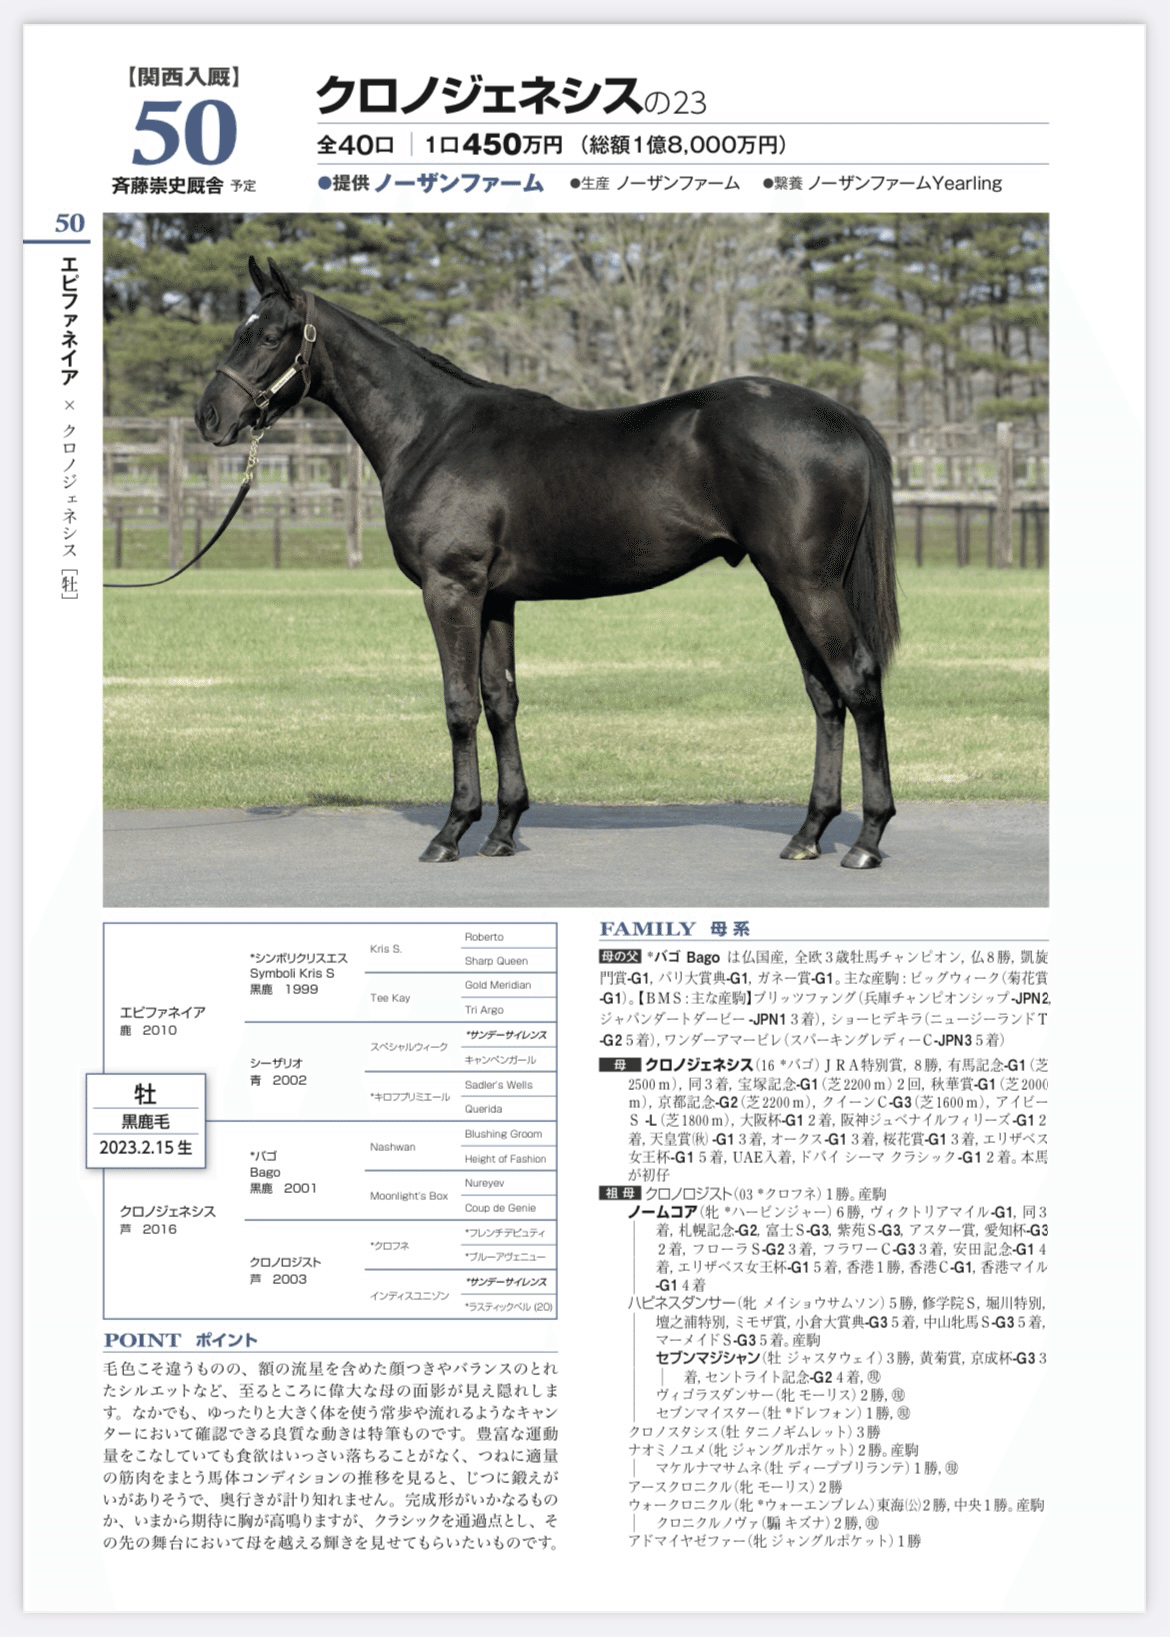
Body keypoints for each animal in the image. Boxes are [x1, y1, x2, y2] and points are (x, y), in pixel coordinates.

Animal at [196, 257, 900, 868]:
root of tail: (842, 418)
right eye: (240, 331)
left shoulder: (451, 590)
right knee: (824, 694)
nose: (210, 417)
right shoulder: (495, 599)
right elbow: (501, 701)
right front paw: (502, 831)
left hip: (807, 584)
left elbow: (460, 705)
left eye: (269, 335)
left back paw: (867, 840)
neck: (433, 431)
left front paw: (450, 832)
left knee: (858, 681)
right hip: (787, 586)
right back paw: (808, 833)